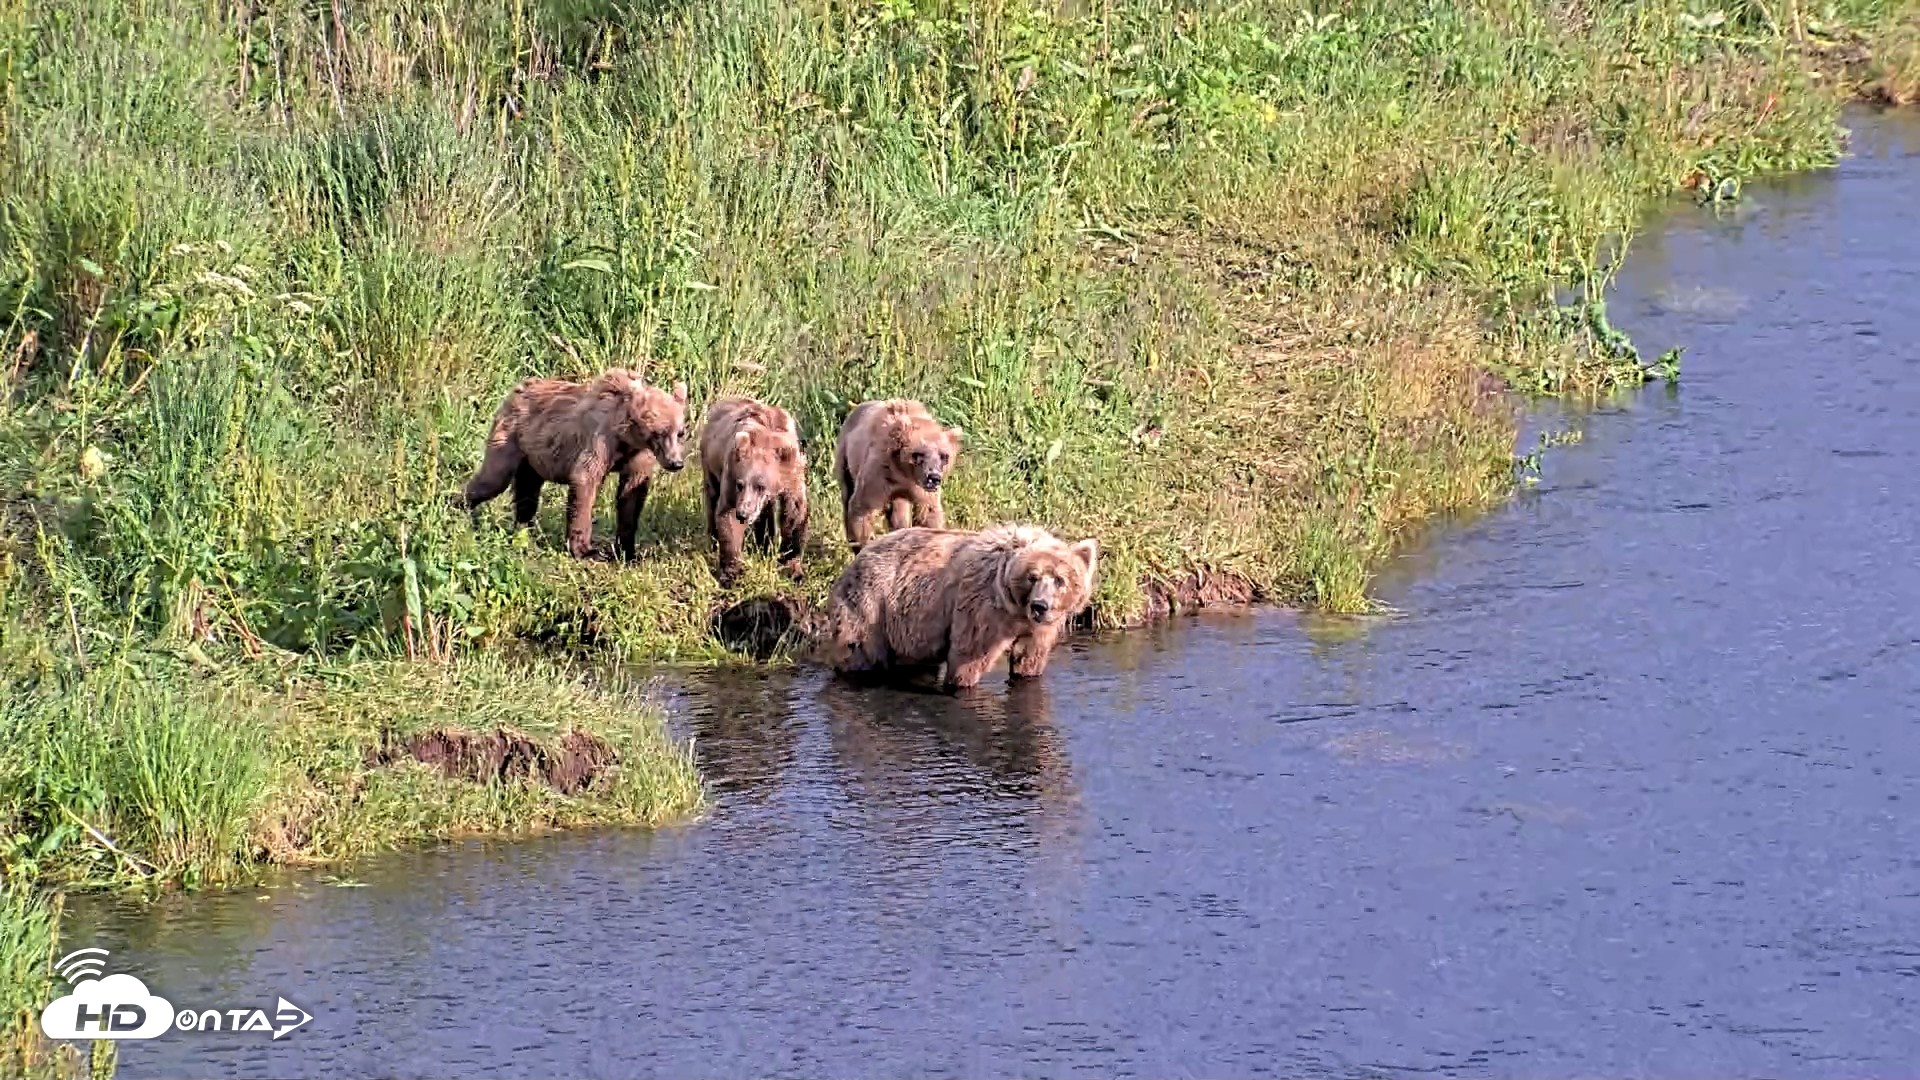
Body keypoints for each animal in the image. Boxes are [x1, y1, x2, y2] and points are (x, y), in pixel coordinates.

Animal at [461, 368, 688, 561]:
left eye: (680, 432)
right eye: (659, 433)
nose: (676, 463)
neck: (628, 436)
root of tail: (518, 388)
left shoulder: (637, 456)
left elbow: (631, 495)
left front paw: (628, 551)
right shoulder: (601, 440)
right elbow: (585, 479)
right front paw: (586, 550)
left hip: (532, 457)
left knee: (527, 491)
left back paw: (524, 529)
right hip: (511, 435)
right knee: (493, 478)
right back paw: (460, 508)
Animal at [699, 395, 810, 584]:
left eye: (760, 486)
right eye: (740, 484)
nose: (743, 513)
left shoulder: (792, 472)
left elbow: (794, 512)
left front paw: (793, 567)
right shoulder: (732, 469)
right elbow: (728, 515)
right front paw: (732, 572)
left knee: (765, 513)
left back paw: (763, 545)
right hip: (710, 463)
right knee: (712, 499)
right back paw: (713, 541)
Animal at [822, 523, 1099, 691]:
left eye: (1060, 579)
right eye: (1032, 576)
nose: (1040, 605)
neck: (1015, 610)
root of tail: (854, 560)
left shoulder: (1040, 626)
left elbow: (1030, 657)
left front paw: (1026, 672)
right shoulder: (982, 608)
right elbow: (969, 655)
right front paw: (961, 683)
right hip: (871, 605)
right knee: (859, 651)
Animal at [833, 398, 964, 551]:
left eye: (944, 456)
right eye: (918, 454)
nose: (934, 478)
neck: (904, 474)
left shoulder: (921, 490)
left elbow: (928, 512)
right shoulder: (878, 474)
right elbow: (862, 509)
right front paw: (865, 543)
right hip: (846, 456)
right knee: (847, 493)